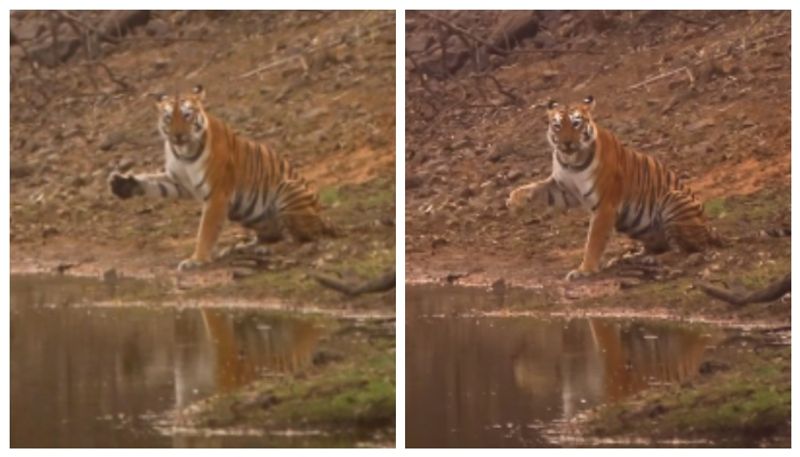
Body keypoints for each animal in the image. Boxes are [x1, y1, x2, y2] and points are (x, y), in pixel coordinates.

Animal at [109, 84, 328, 270]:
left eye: (187, 115)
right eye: (168, 117)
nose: (177, 136)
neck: (183, 153)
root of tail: (324, 218)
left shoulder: (217, 194)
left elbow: (206, 230)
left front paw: (196, 260)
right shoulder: (179, 182)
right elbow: (154, 182)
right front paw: (122, 183)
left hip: (287, 190)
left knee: (301, 238)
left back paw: (267, 249)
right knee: (274, 234)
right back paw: (240, 247)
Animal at [506, 95, 720, 280]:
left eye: (576, 123)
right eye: (557, 126)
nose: (566, 143)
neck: (571, 162)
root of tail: (710, 228)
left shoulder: (605, 206)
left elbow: (594, 241)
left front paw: (584, 270)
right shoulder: (564, 190)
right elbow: (536, 188)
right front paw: (514, 200)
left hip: (673, 199)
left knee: (686, 250)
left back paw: (652, 259)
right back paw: (628, 258)